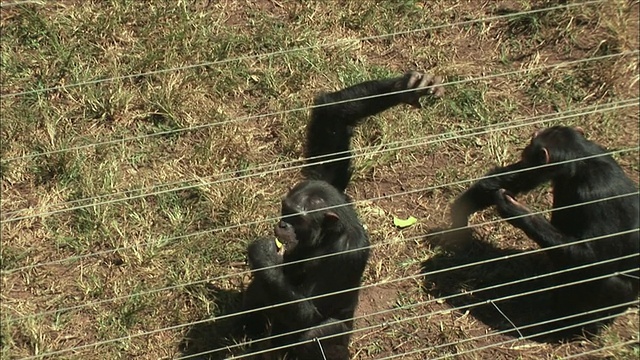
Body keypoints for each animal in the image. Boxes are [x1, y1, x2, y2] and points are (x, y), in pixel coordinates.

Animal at [241, 69, 444, 358]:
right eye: (285, 209)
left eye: (297, 218)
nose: (282, 225)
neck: (327, 236)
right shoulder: (327, 178)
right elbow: (333, 115)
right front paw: (408, 86)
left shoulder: (345, 255)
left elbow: (309, 314)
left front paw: (264, 255)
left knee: (317, 331)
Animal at [450, 126, 640, 338]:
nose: (523, 153)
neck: (580, 163)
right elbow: (518, 177)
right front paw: (461, 211)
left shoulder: (598, 195)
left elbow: (596, 256)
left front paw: (517, 211)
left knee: (609, 282)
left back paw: (576, 327)